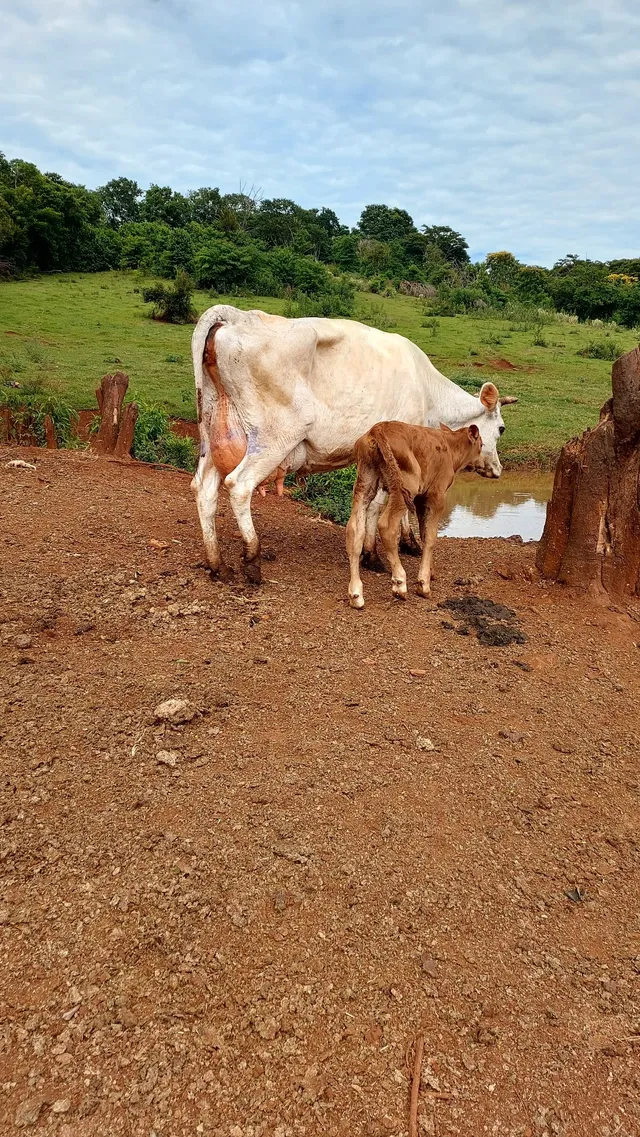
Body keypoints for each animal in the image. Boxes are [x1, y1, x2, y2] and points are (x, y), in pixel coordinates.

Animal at [191, 305, 517, 583]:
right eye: (501, 428)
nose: (498, 469)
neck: (428, 392)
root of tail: (238, 316)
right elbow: (380, 506)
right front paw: (374, 555)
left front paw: (405, 542)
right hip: (273, 438)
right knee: (238, 486)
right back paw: (252, 560)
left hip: (214, 434)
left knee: (204, 488)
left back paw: (217, 563)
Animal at [346, 421, 483, 608]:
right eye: (482, 445)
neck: (449, 447)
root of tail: (378, 429)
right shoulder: (436, 496)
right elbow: (431, 536)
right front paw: (424, 584)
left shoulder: (420, 499)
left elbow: (424, 533)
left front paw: (430, 572)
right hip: (406, 487)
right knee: (386, 525)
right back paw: (399, 584)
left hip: (365, 482)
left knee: (354, 530)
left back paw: (356, 595)